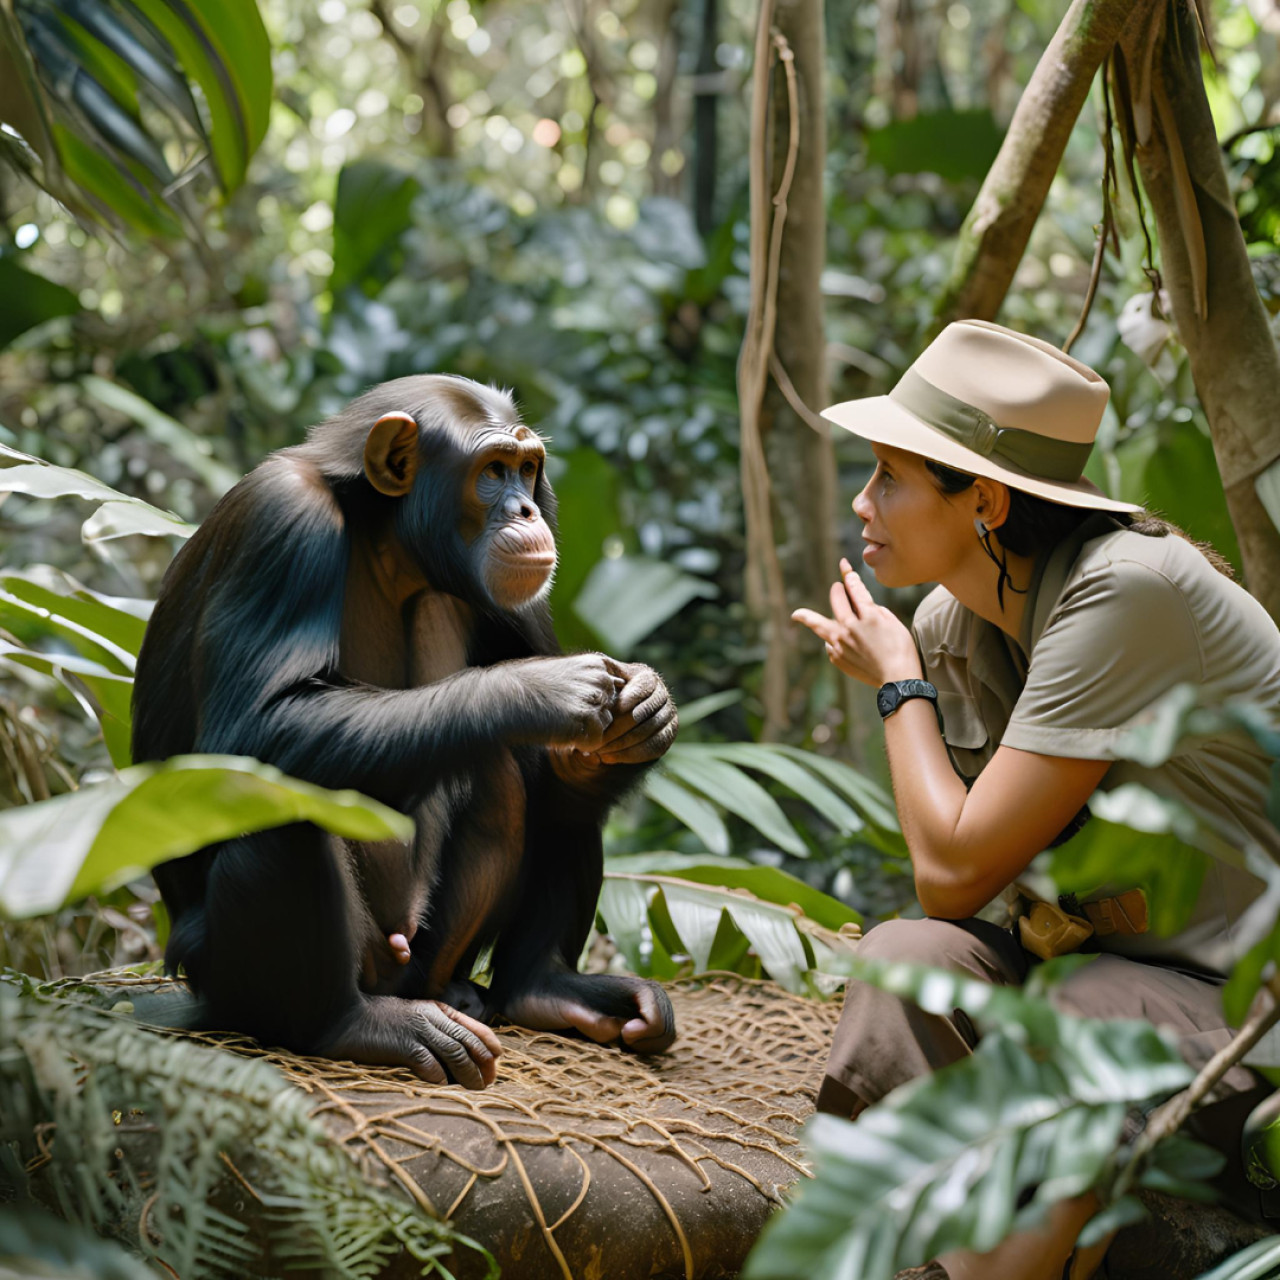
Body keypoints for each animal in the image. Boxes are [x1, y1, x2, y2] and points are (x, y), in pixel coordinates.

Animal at [132, 373, 680, 1085]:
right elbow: (252, 731)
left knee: (533, 789)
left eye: (528, 471)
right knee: (282, 806)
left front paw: (644, 707)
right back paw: (351, 1025)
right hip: (235, 976)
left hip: (429, 957)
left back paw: (546, 986)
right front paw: (541, 689)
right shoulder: (282, 522)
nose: (526, 511)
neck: (393, 544)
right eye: (492, 471)